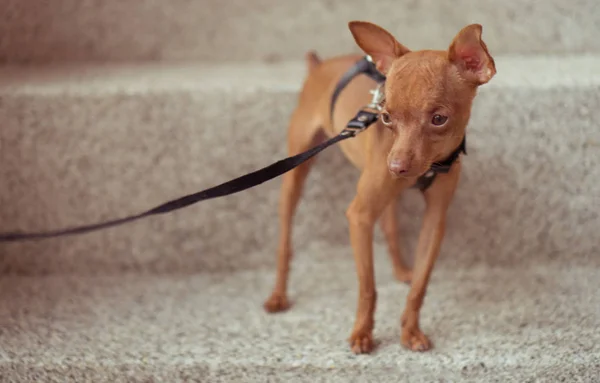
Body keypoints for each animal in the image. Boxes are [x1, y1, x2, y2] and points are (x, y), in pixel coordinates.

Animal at [262, 20, 496, 354]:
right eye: (386, 117)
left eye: (439, 118)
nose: (395, 167)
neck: (430, 165)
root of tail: (318, 65)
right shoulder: (359, 216)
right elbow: (368, 286)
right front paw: (362, 333)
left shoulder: (435, 220)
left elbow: (420, 285)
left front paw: (410, 330)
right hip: (295, 176)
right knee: (285, 242)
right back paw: (278, 295)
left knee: (390, 227)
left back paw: (400, 269)